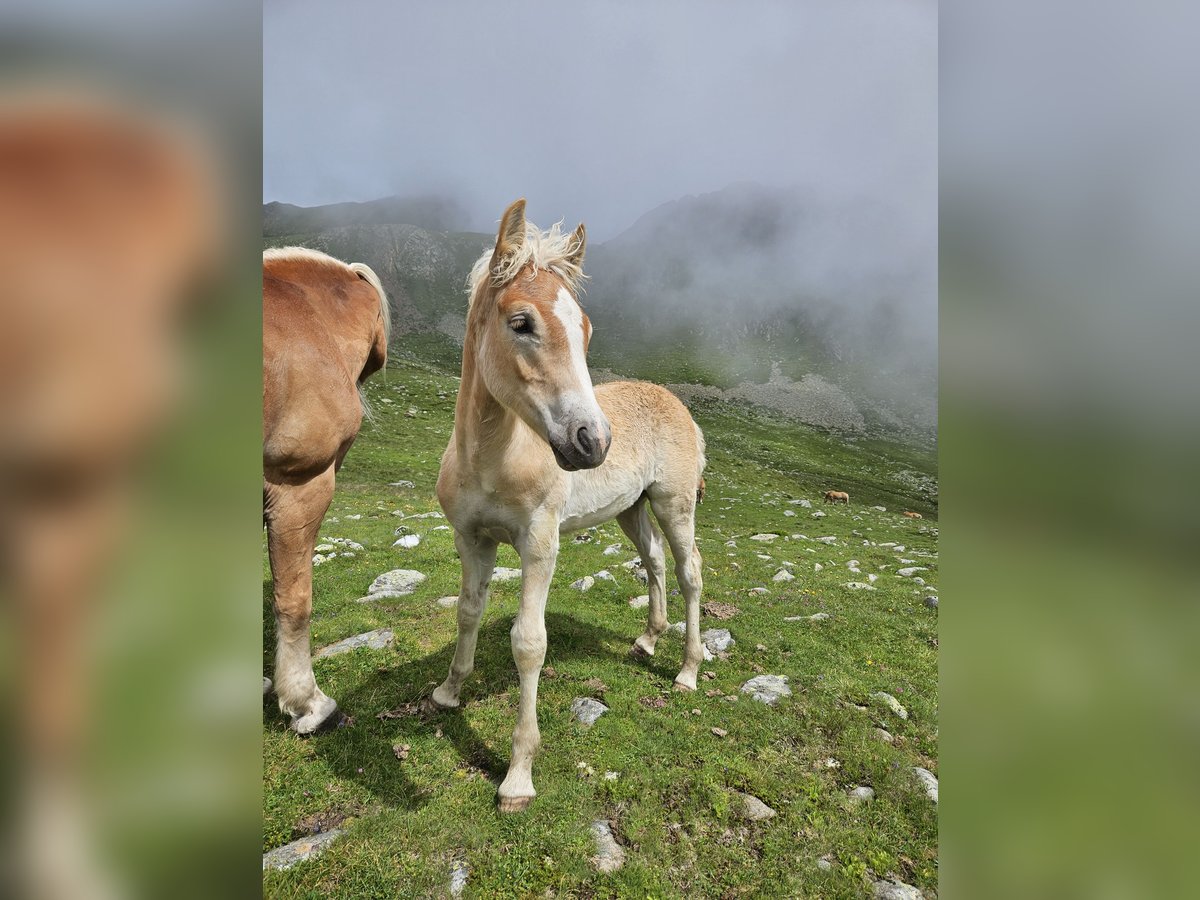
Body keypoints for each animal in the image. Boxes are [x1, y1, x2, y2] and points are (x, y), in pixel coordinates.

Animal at [432, 200, 705, 816]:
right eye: (521, 323)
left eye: (585, 330)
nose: (592, 441)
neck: (491, 458)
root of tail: (681, 407)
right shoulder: (471, 540)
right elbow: (468, 613)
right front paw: (448, 692)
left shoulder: (539, 543)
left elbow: (528, 644)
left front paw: (518, 777)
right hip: (632, 509)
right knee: (653, 561)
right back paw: (647, 640)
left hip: (675, 505)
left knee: (689, 572)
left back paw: (687, 671)